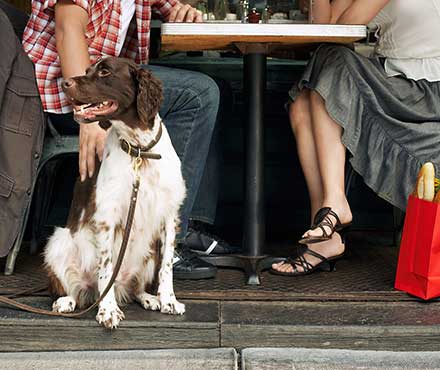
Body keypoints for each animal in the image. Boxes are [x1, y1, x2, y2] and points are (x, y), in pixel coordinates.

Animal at [42, 56, 184, 328]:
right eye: (87, 70)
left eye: (105, 72)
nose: (65, 83)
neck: (140, 150)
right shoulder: (107, 217)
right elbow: (106, 269)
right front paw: (107, 310)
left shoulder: (169, 214)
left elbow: (167, 265)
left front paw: (169, 300)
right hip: (59, 242)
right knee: (72, 289)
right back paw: (66, 301)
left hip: (148, 254)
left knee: (134, 287)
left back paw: (149, 297)